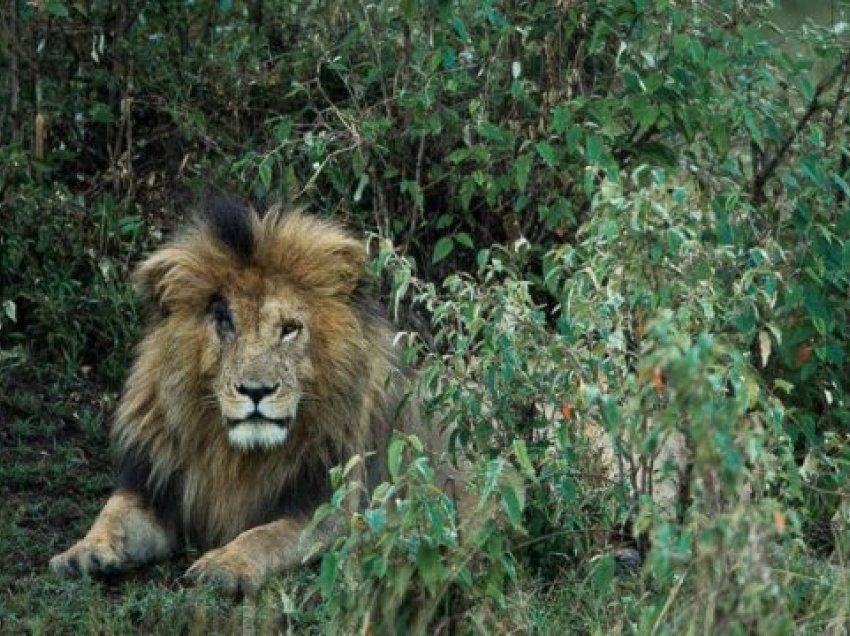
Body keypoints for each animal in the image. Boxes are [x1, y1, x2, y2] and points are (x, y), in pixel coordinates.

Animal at [49, 200, 444, 596]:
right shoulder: (155, 485)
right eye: (225, 322)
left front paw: (223, 565)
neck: (236, 458)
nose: (256, 390)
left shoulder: (332, 506)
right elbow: (112, 513)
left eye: (289, 329)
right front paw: (83, 552)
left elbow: (265, 537)